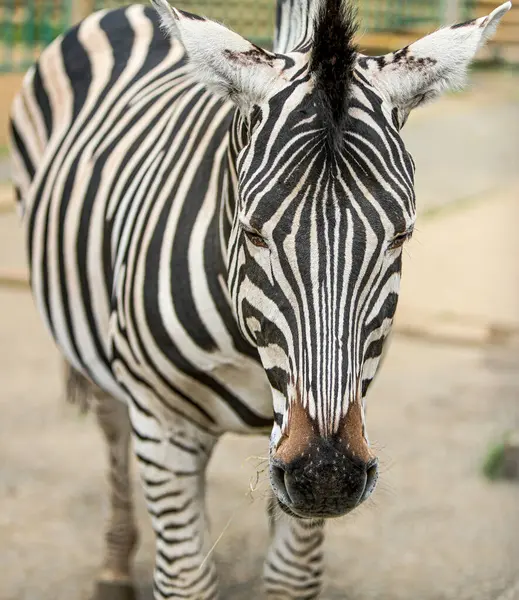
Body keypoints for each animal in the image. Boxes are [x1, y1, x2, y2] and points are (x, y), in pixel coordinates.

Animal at [8, 0, 512, 596]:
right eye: (252, 232)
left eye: (402, 236)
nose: (326, 475)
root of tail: (128, 12)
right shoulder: (162, 422)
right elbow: (184, 578)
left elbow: (291, 574)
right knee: (111, 423)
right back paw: (113, 565)